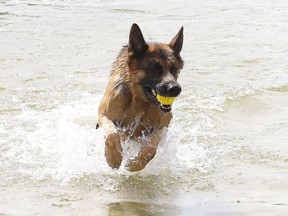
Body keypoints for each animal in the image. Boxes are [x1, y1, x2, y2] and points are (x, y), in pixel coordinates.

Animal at [97, 23, 182, 172]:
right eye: (155, 69)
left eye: (174, 69)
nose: (175, 89)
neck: (139, 101)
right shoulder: (104, 115)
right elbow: (112, 135)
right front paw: (114, 158)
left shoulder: (163, 126)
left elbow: (151, 149)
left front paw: (135, 164)